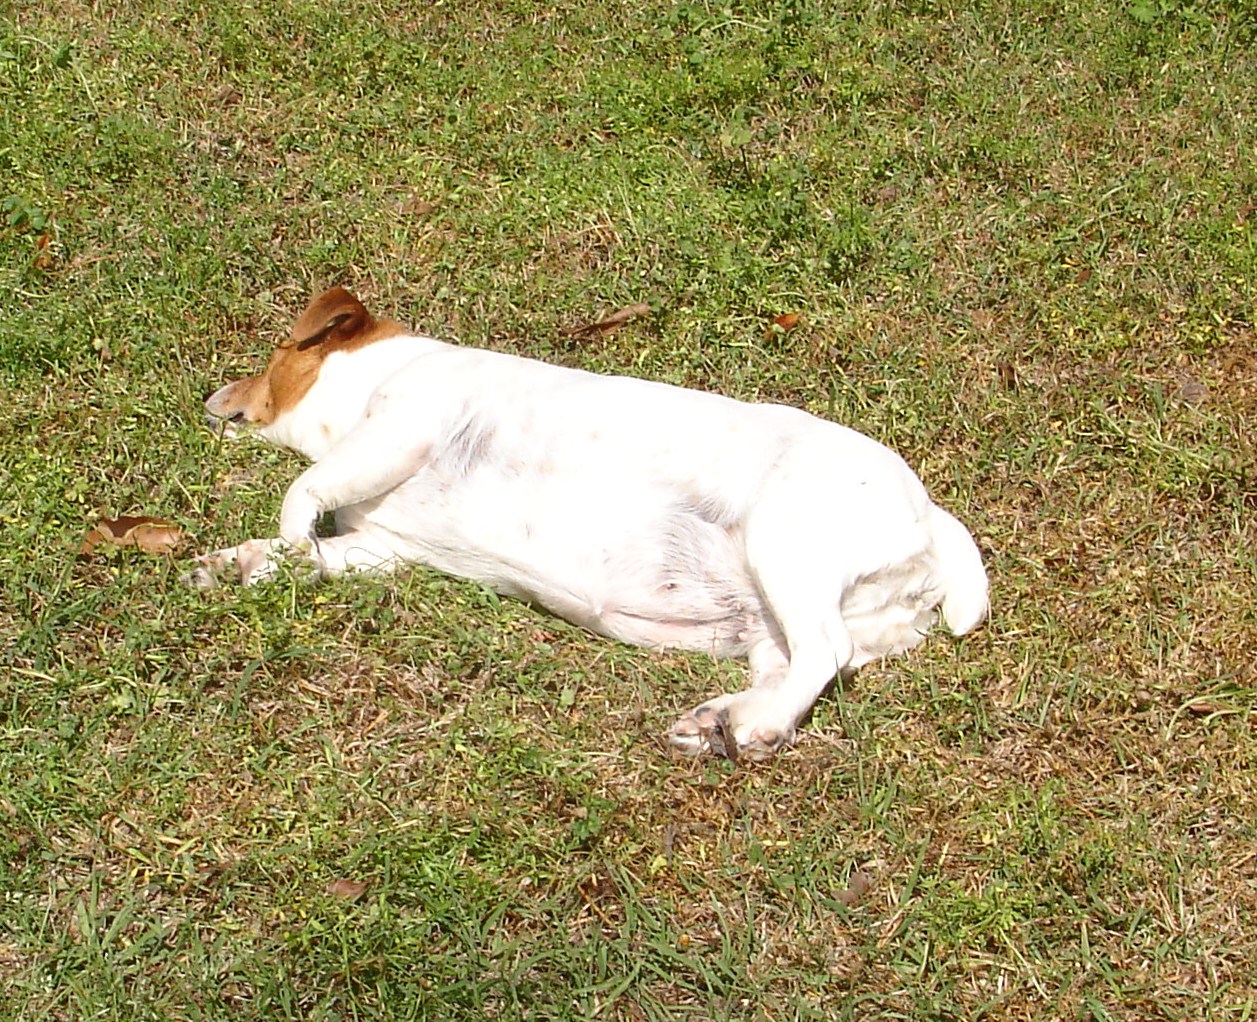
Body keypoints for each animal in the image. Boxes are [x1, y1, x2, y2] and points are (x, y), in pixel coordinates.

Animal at [191, 286, 985, 759]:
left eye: (273, 354)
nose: (211, 396)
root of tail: (932, 518)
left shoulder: (400, 428)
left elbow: (302, 491)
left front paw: (282, 547)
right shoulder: (385, 548)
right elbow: (318, 547)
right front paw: (251, 563)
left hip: (785, 544)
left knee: (822, 652)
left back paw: (757, 725)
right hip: (775, 624)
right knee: (804, 662)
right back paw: (721, 719)